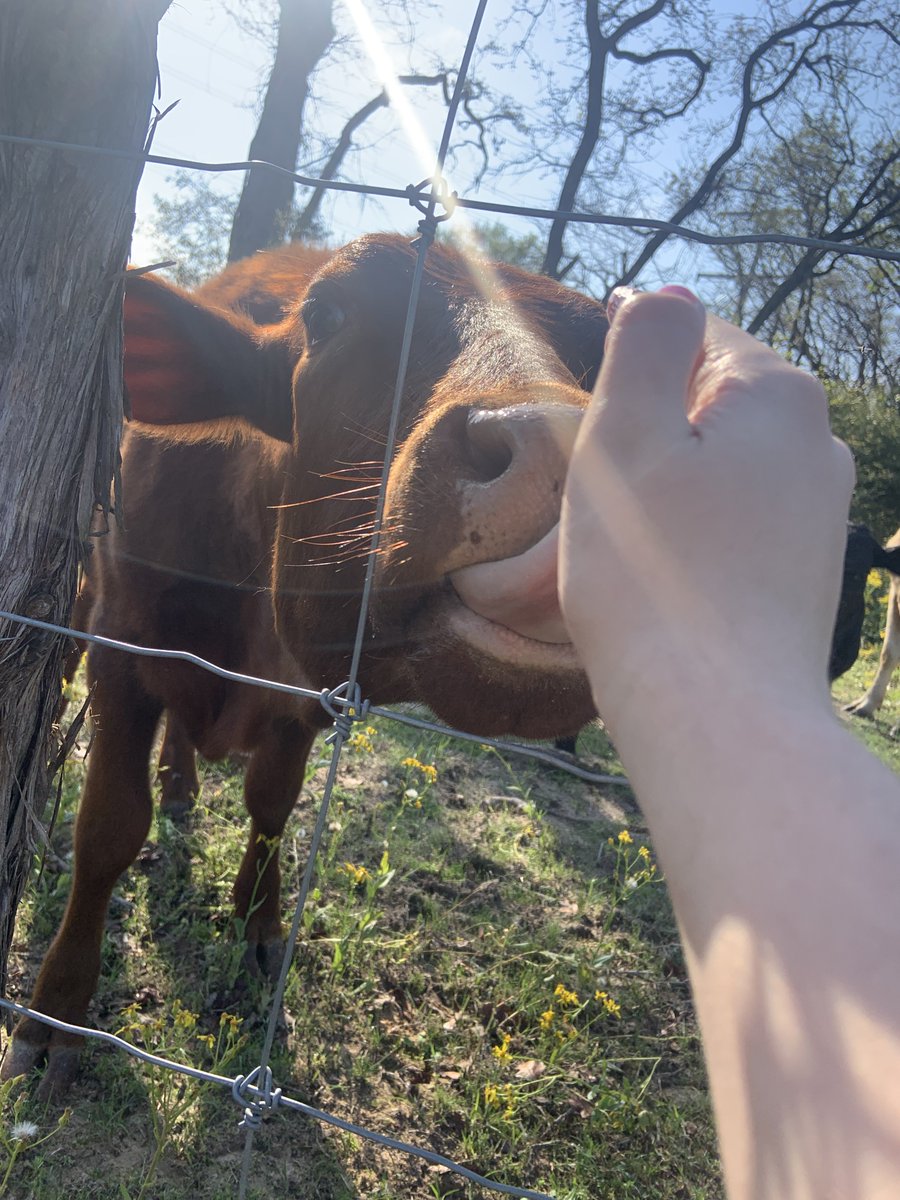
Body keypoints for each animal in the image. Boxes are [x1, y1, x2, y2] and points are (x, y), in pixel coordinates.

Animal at [2, 234, 608, 1097]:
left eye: (605, 354)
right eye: (327, 316)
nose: (560, 448)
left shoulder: (312, 695)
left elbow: (272, 803)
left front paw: (260, 923)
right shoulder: (124, 648)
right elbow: (110, 827)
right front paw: (56, 1015)